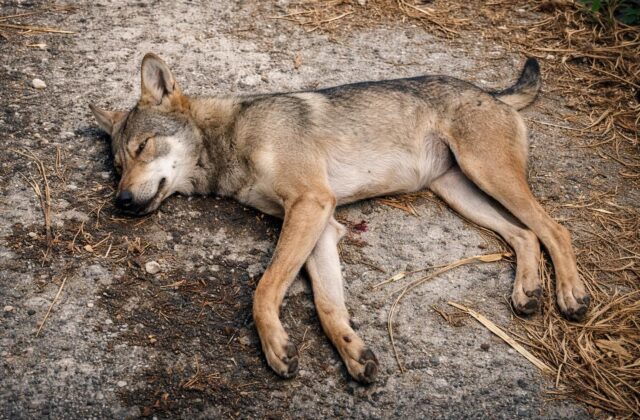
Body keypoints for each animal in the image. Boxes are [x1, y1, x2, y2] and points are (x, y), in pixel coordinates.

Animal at [90, 53, 590, 383]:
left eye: (142, 147)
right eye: (117, 165)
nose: (122, 201)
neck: (231, 138)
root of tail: (488, 92)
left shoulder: (311, 205)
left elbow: (263, 290)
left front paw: (275, 345)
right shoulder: (321, 225)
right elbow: (329, 306)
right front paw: (354, 352)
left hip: (487, 174)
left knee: (555, 229)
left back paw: (571, 294)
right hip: (461, 193)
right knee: (525, 235)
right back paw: (527, 291)